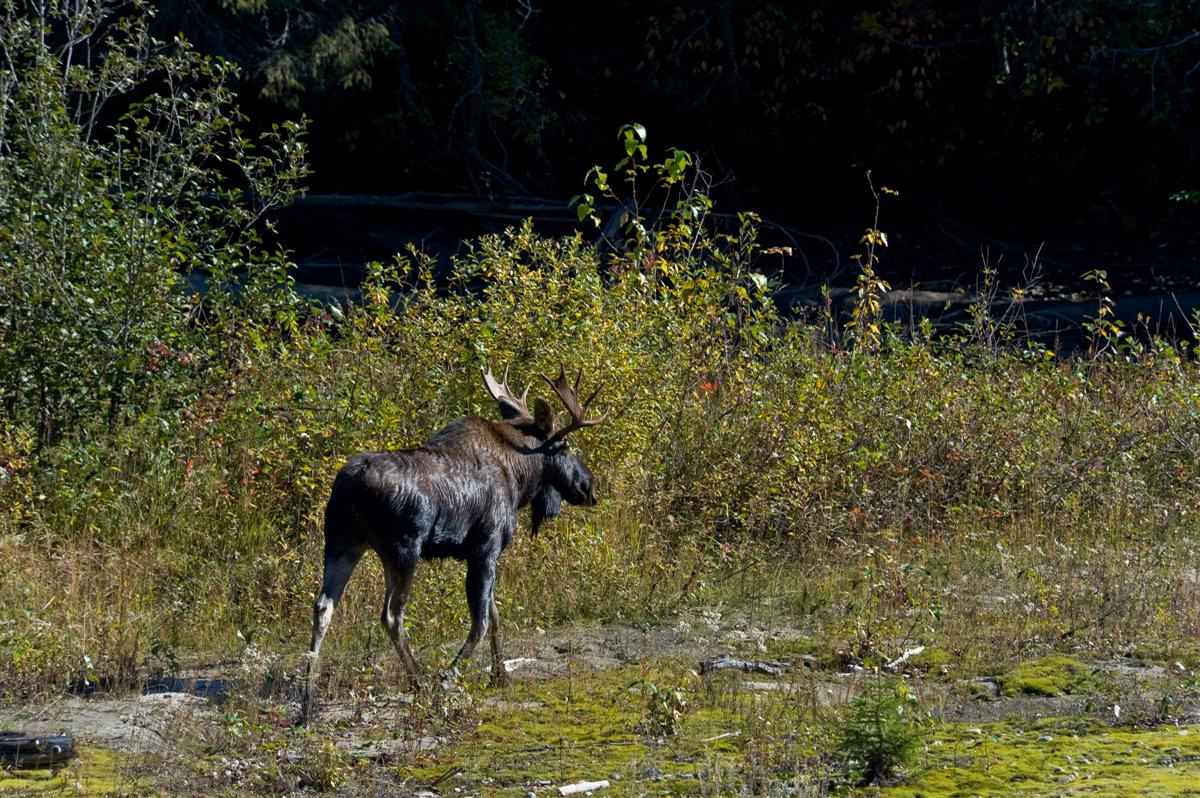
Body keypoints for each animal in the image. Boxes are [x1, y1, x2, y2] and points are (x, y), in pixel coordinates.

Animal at [300, 367, 604, 720]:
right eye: (565, 447)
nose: (590, 487)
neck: (520, 477)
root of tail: (349, 486)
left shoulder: (481, 554)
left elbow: (494, 612)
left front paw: (500, 676)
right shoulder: (485, 547)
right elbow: (482, 621)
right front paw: (449, 677)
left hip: (342, 543)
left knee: (323, 606)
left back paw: (306, 699)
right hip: (403, 550)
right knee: (392, 615)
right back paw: (420, 681)